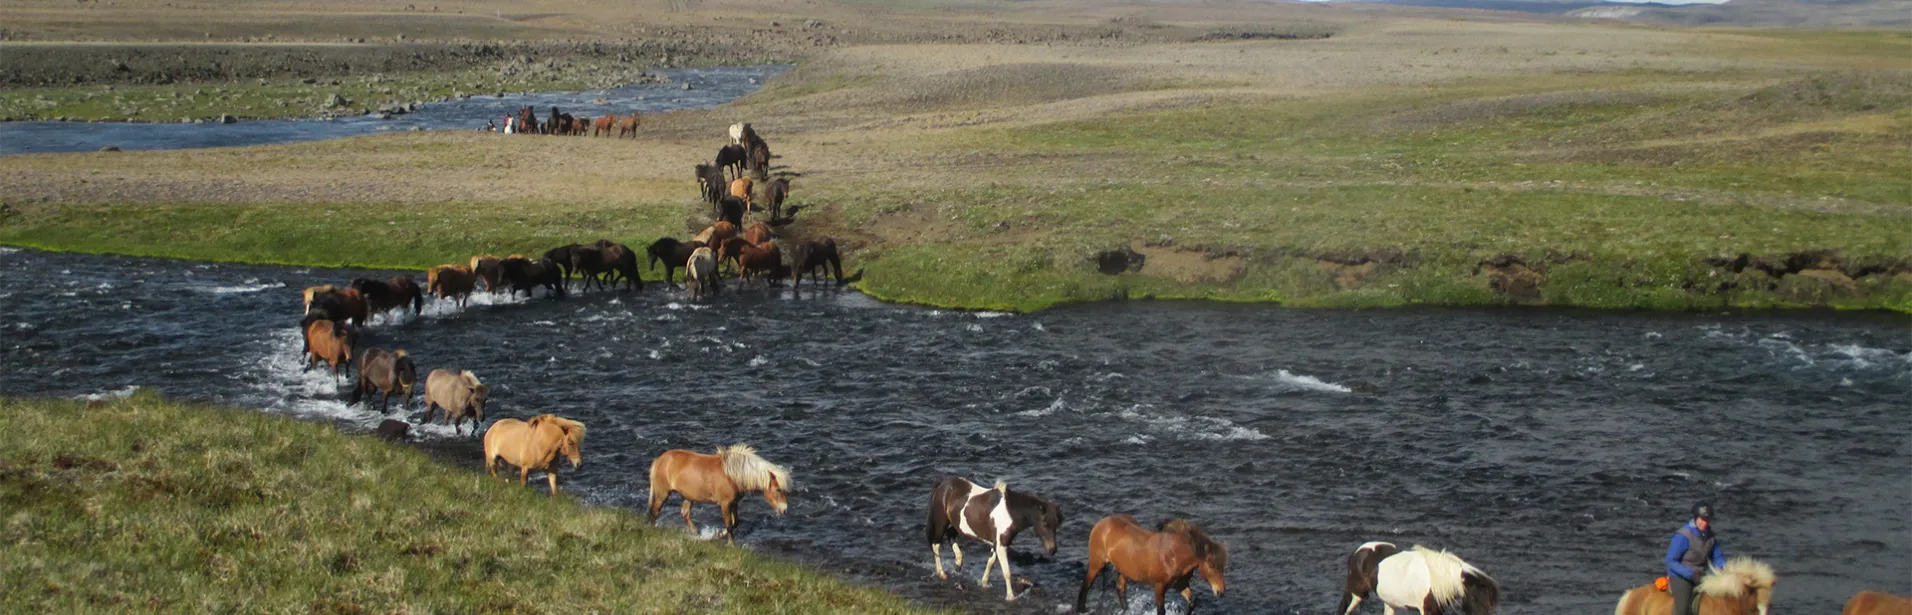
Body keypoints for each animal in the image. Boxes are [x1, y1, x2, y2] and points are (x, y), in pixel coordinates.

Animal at [646, 445, 787, 546]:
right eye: (778, 489)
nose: (785, 510)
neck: (733, 475)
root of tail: (658, 460)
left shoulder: (734, 503)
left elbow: (735, 523)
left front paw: (718, 535)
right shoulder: (725, 504)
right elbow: (729, 524)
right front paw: (731, 544)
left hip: (688, 496)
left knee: (685, 514)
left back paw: (696, 533)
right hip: (663, 494)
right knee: (655, 511)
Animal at [921, 475, 1063, 599]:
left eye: (1057, 524)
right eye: (1045, 524)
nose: (1052, 550)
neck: (1010, 512)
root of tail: (942, 485)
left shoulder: (996, 544)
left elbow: (990, 563)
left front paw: (984, 583)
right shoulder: (1001, 545)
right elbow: (1006, 572)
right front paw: (1011, 597)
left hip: (958, 525)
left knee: (950, 535)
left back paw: (958, 563)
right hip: (941, 522)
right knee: (936, 545)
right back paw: (942, 573)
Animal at [1078, 515, 1223, 615]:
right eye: (1211, 565)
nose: (1220, 592)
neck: (1173, 555)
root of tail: (1102, 523)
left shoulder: (1180, 584)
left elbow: (1192, 602)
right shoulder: (1159, 587)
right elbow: (1161, 611)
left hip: (1123, 570)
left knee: (1120, 589)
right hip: (1096, 564)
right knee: (1085, 588)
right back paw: (1081, 610)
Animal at [1338, 542, 1499, 615]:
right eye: (1475, 598)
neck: (1435, 579)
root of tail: (1360, 550)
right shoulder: (1426, 609)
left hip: (1389, 602)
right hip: (1356, 595)